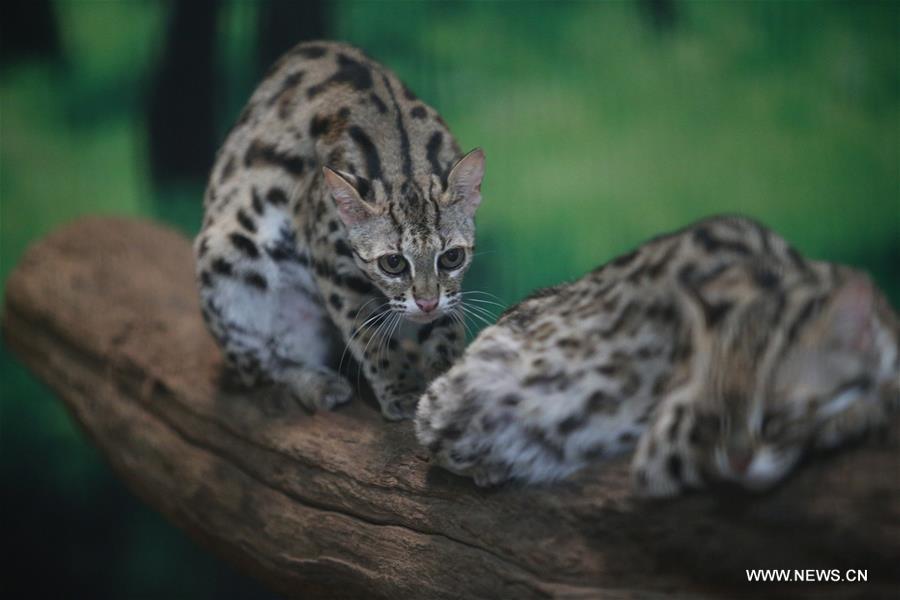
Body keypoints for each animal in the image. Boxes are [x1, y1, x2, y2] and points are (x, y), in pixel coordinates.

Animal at [192, 39, 486, 420]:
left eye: (451, 257)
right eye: (393, 263)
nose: (426, 304)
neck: (403, 161)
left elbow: (446, 326)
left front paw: (446, 378)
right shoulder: (332, 262)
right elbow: (369, 334)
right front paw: (402, 390)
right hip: (225, 257)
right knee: (259, 368)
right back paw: (316, 383)